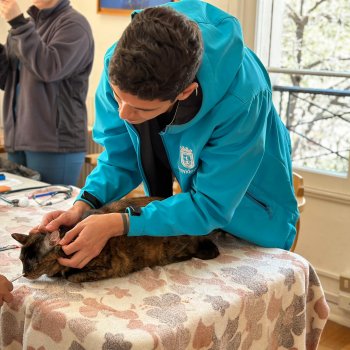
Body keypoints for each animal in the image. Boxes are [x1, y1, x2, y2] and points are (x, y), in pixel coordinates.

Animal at [12, 197, 220, 282]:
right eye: (21, 260)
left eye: (34, 262)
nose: (23, 274)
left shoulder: (111, 266)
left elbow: (71, 276)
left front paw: (65, 273)